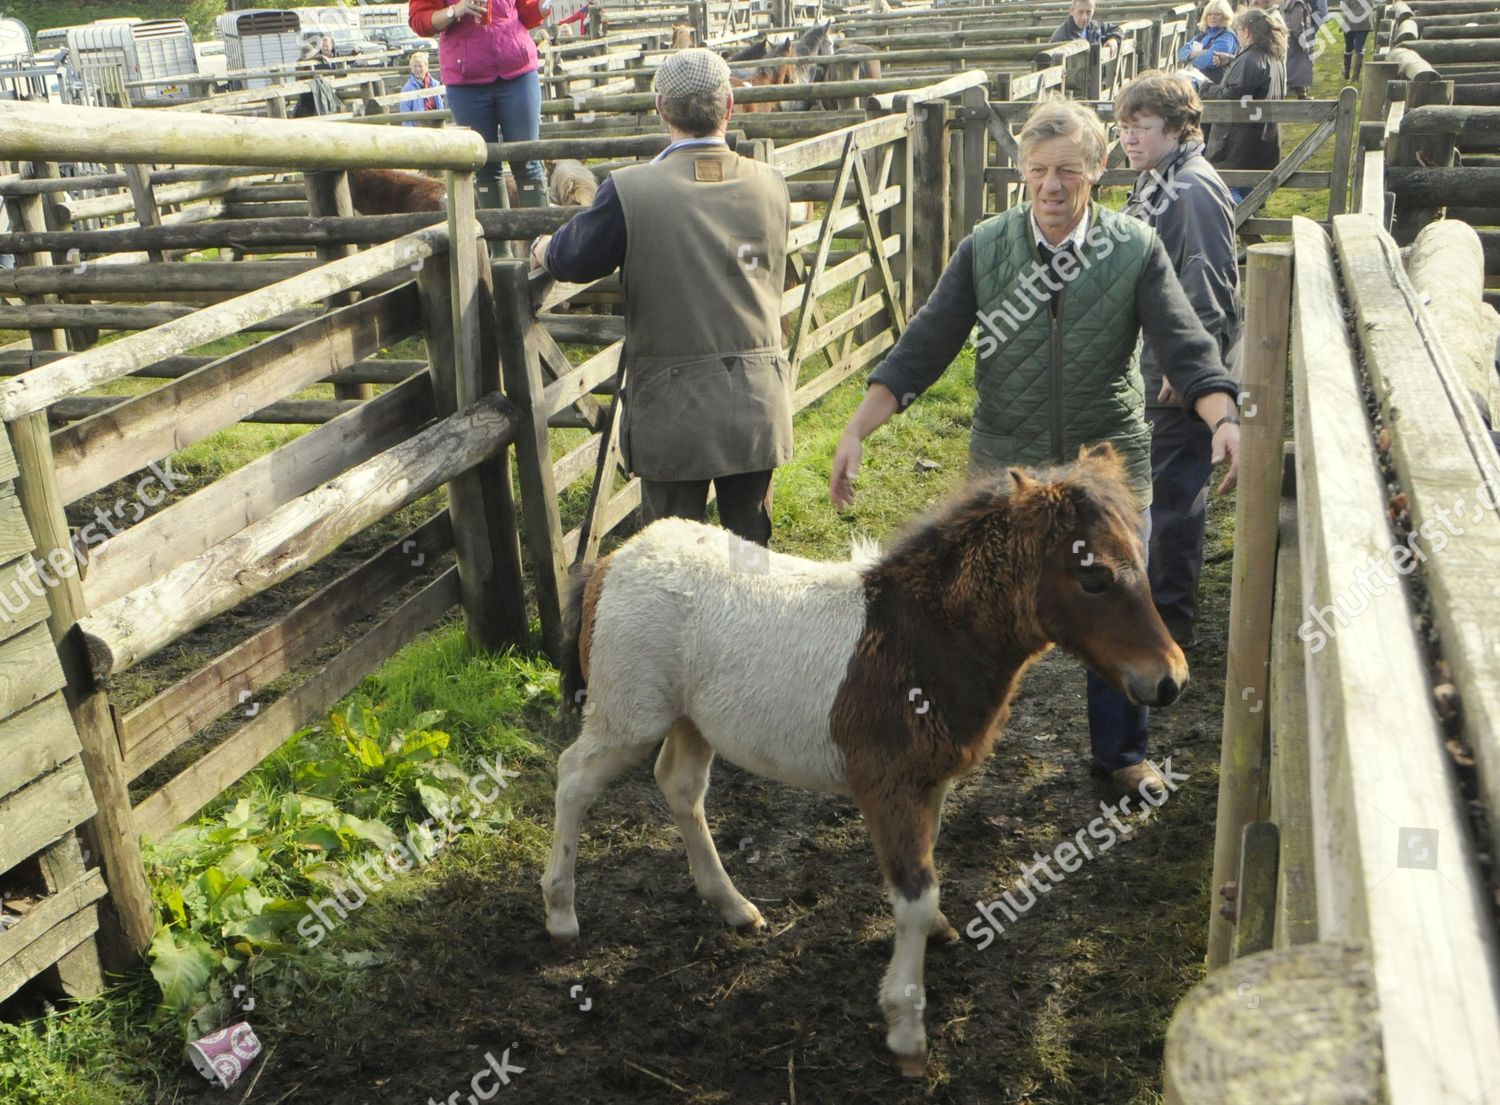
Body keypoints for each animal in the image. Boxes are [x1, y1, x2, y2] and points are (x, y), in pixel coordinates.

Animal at [541, 442, 1188, 1075]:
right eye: (1093, 577)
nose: (1170, 680)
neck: (918, 639)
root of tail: (611, 560)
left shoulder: (930, 781)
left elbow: (927, 871)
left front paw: (940, 935)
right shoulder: (888, 787)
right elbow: (915, 894)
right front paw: (906, 1030)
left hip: (692, 721)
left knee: (679, 786)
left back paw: (733, 905)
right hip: (630, 715)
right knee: (574, 778)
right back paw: (561, 914)